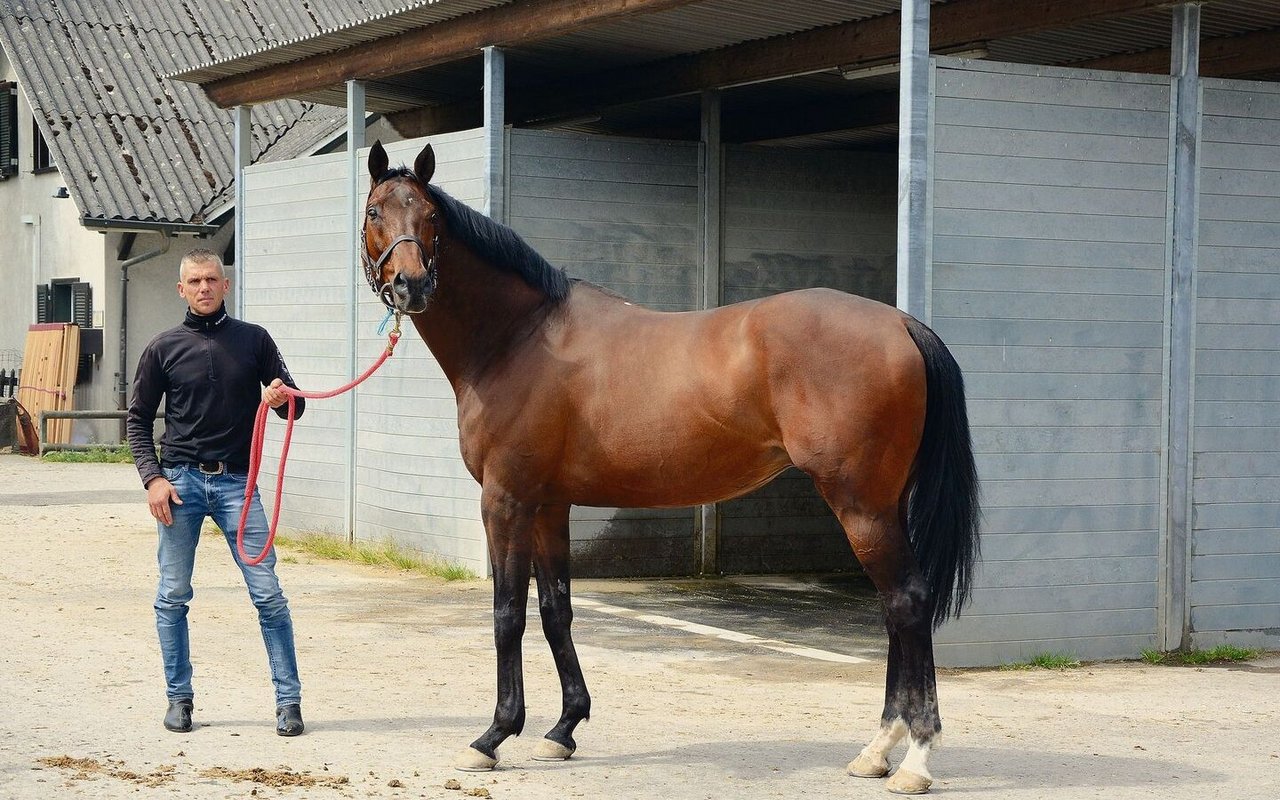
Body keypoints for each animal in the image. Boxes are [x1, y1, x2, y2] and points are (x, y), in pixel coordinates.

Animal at [360, 138, 977, 793]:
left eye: (430, 216)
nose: (411, 285)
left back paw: (914, 759)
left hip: (860, 504)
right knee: (893, 611)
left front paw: (494, 736)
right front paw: (564, 728)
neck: (519, 338)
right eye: (376, 211)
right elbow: (556, 610)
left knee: (906, 602)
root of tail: (901, 323)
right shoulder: (550, 503)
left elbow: (507, 614)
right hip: (884, 504)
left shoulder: (506, 500)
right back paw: (877, 750)